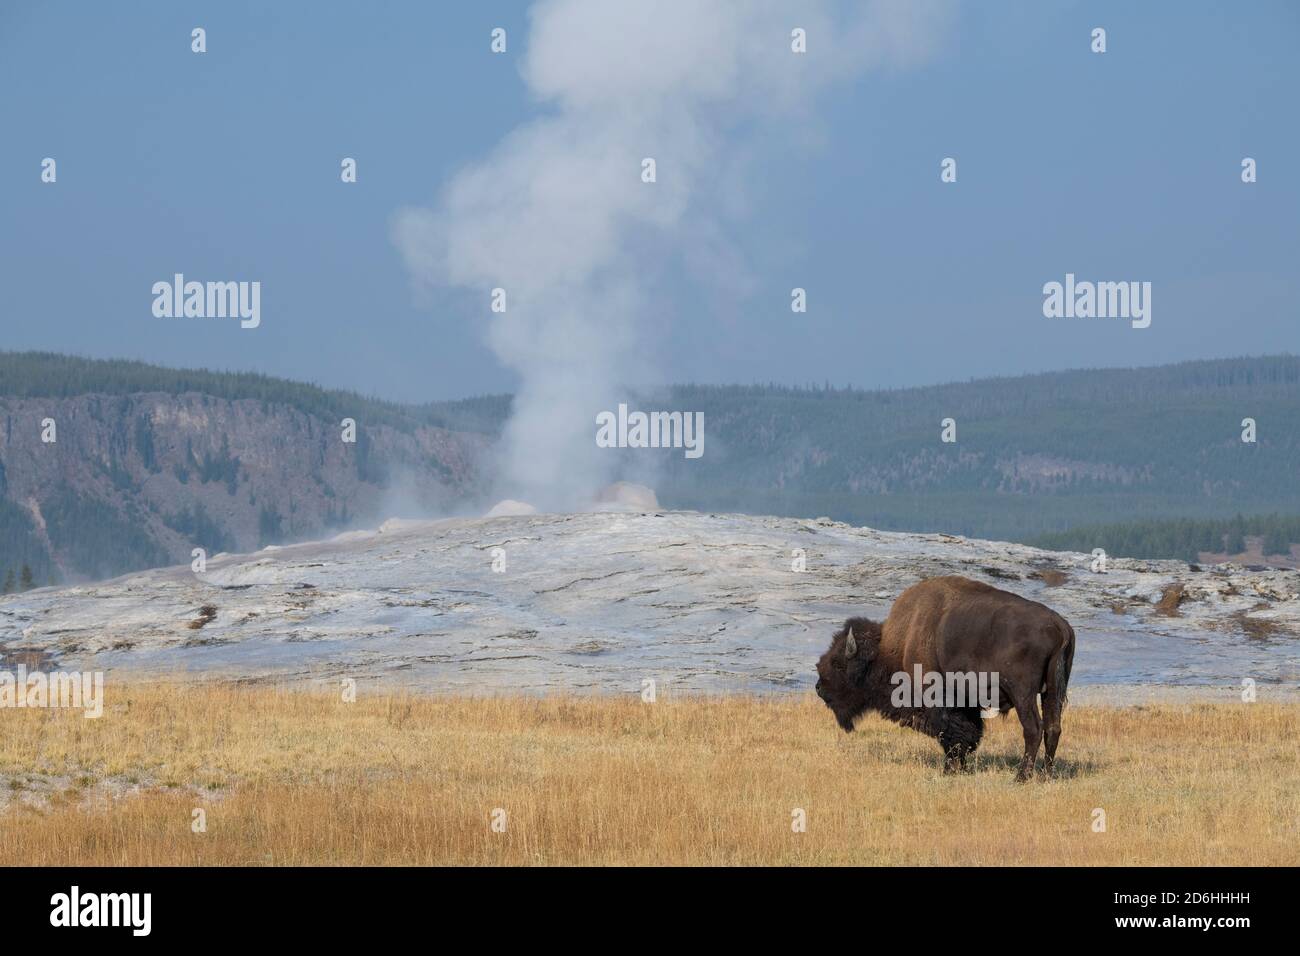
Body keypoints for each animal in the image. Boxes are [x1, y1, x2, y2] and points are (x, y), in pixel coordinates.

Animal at [815, 575, 1075, 780]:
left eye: (838, 664)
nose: (819, 688)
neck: (897, 644)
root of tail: (1060, 626)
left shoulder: (937, 698)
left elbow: (950, 733)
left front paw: (949, 770)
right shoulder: (966, 703)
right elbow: (968, 734)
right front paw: (962, 768)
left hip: (1023, 693)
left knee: (1033, 728)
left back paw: (1021, 776)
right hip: (1052, 691)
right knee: (1053, 728)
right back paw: (1045, 775)